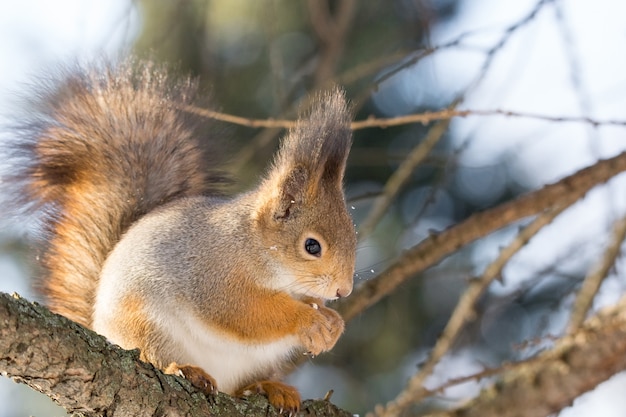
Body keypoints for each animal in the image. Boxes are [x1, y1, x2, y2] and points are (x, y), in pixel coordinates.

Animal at [4, 58, 354, 412]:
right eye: (312, 246)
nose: (344, 290)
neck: (256, 248)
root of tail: (101, 325)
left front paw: (333, 323)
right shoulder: (213, 277)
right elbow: (243, 312)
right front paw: (310, 321)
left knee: (240, 386)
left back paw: (268, 387)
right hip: (146, 323)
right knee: (153, 356)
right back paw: (185, 369)